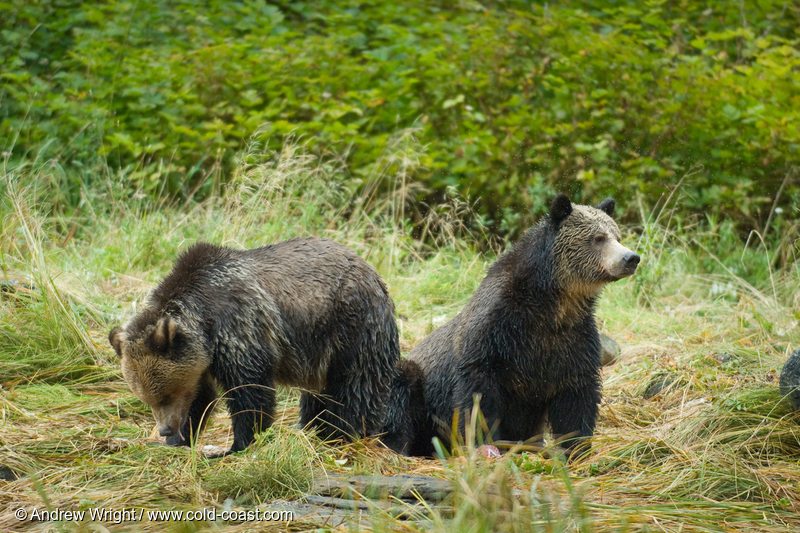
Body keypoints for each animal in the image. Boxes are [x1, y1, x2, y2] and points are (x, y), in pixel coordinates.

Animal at [109, 237, 400, 454]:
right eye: (146, 398)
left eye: (165, 395)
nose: (165, 429)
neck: (204, 322)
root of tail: (373, 273)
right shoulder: (201, 363)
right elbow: (201, 397)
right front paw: (180, 439)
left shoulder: (238, 327)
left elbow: (249, 390)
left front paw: (236, 445)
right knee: (318, 393)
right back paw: (311, 428)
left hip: (350, 326)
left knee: (358, 384)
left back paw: (346, 433)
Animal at [390, 195, 640, 458]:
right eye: (598, 238)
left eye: (617, 235)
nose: (630, 258)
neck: (554, 305)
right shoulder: (495, 335)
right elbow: (479, 394)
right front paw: (485, 442)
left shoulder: (572, 340)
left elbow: (576, 398)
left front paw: (575, 448)